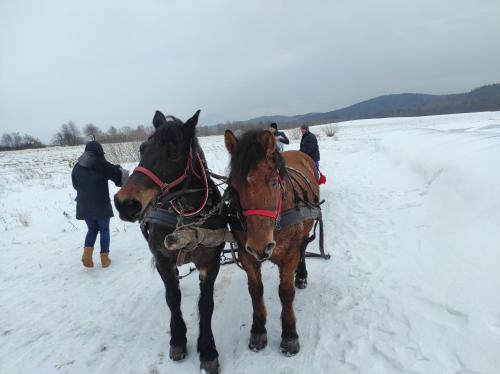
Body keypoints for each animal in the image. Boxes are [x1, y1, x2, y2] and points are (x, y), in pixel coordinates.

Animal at [115, 111, 223, 374]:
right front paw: (178, 339)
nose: (124, 203)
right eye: (142, 148)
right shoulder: (163, 259)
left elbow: (206, 304)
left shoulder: (211, 263)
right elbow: (172, 299)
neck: (186, 216)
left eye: (174, 153)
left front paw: (208, 349)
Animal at [224, 129, 318, 356]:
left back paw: (301, 275)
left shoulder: (289, 256)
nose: (260, 246)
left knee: (303, 250)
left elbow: (285, 293)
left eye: (273, 183)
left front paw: (290, 334)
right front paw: (258, 330)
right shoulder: (247, 256)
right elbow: (255, 291)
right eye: (234, 187)